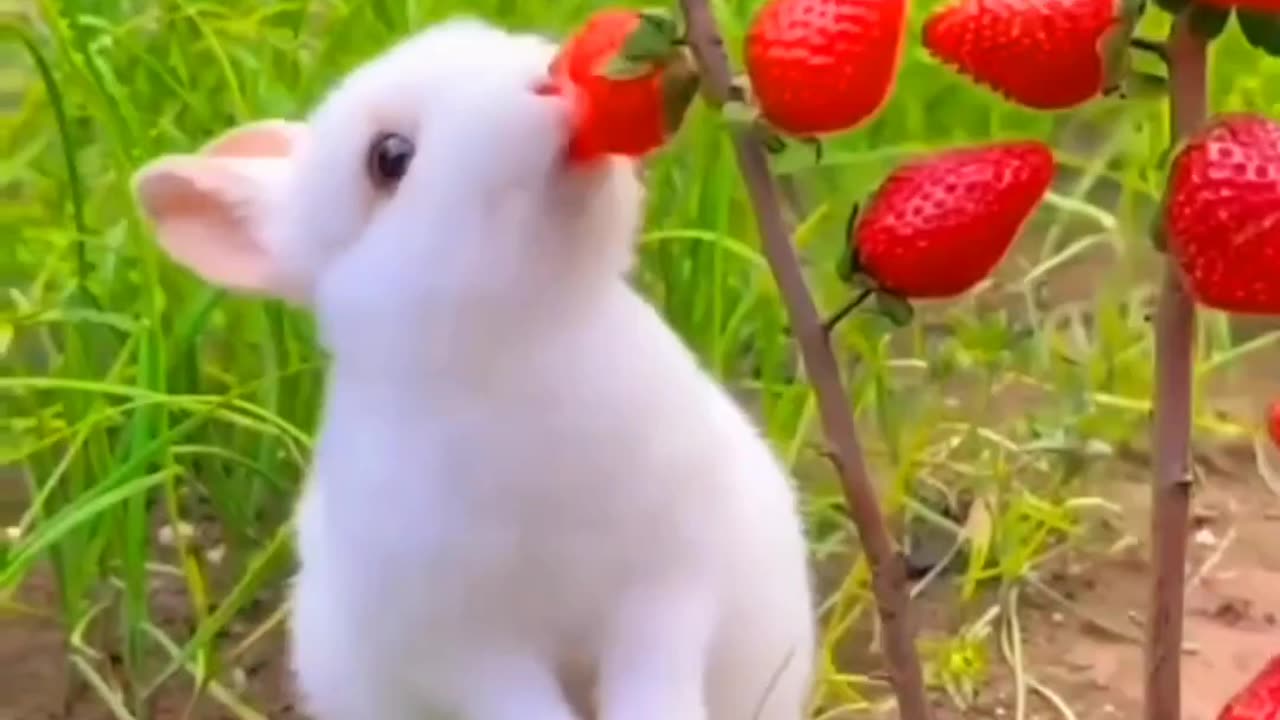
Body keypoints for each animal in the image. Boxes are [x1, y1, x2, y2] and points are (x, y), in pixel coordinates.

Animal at [127, 16, 808, 717]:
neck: (524, 345)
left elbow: (656, 674)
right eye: (389, 158)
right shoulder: (463, 648)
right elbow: (523, 702)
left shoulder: (670, 583)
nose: (546, 81)